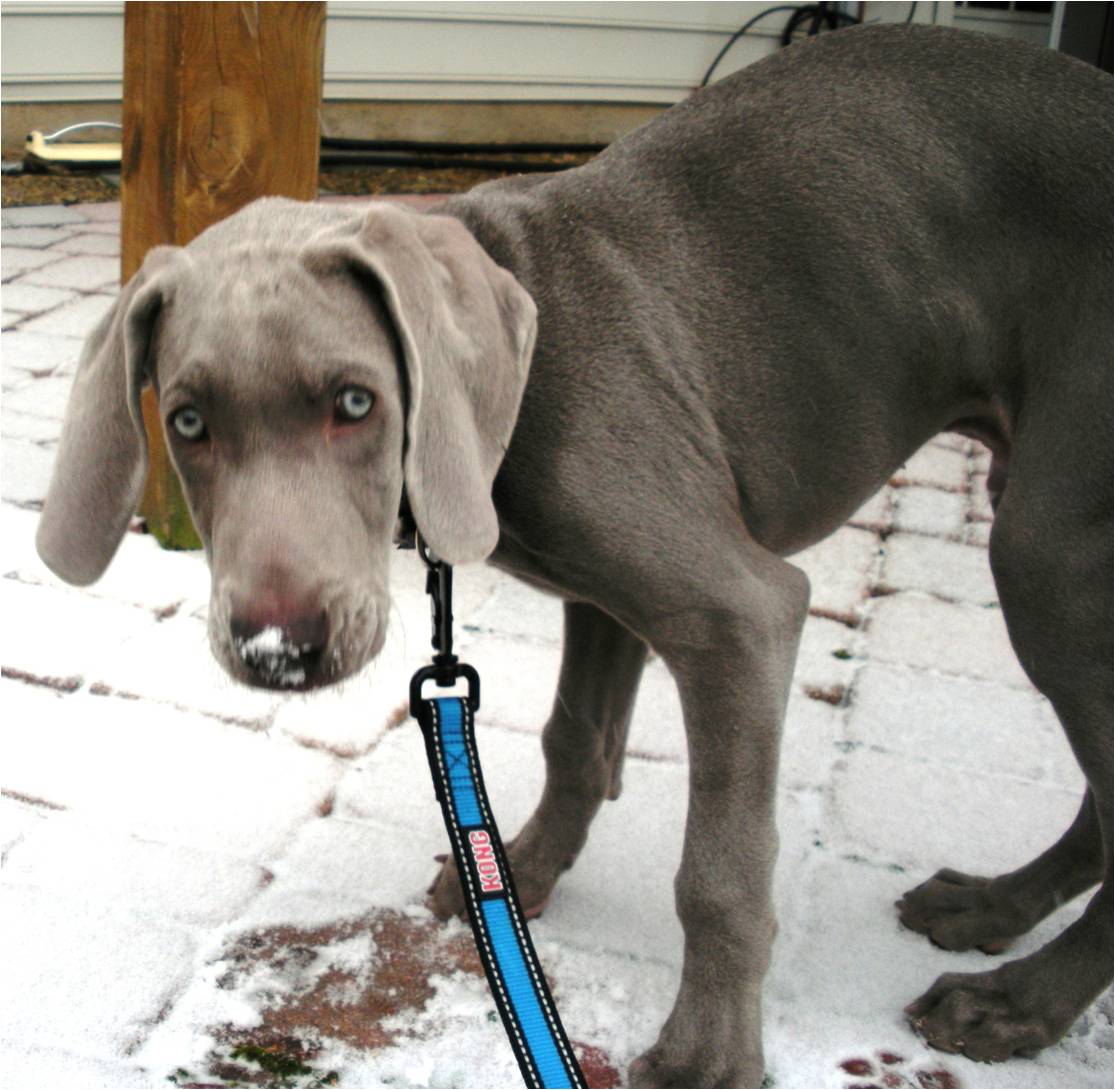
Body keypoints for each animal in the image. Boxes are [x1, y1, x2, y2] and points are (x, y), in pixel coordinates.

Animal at [37, 25, 1115, 1087]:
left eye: (354, 401)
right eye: (187, 421)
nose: (278, 650)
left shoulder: (738, 614)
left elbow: (718, 871)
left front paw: (706, 1060)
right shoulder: (603, 599)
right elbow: (575, 738)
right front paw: (518, 871)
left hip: (1048, 555)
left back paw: (1017, 1001)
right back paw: (990, 910)